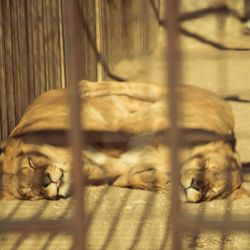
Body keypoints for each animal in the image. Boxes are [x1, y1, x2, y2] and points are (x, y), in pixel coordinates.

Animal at [0, 81, 248, 202]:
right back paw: (85, 87)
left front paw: (160, 182)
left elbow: (129, 177)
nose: (196, 183)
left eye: (211, 190)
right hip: (155, 92)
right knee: (126, 86)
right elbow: (119, 129)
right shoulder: (153, 118)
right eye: (204, 166)